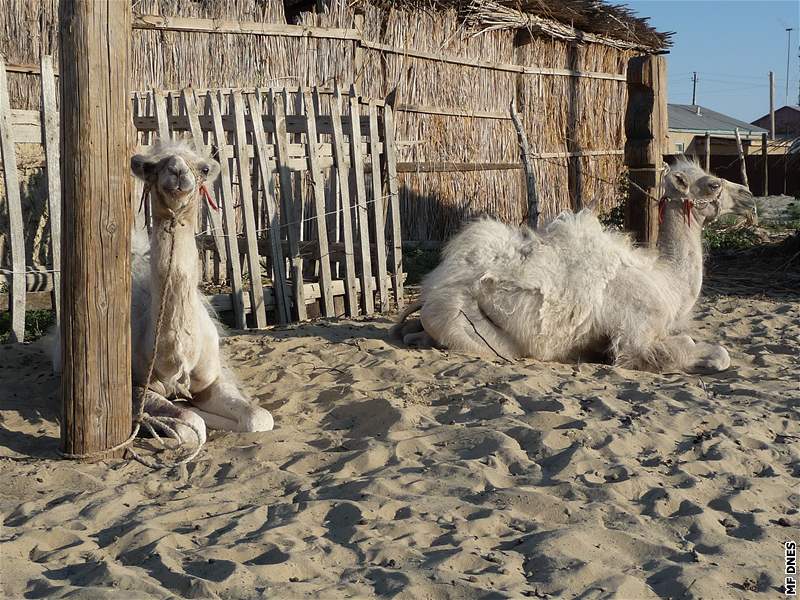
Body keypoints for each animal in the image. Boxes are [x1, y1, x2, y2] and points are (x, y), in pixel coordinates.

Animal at [54, 139, 276, 440]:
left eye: (204, 168)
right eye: (149, 166)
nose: (178, 171)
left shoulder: (211, 379)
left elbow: (259, 417)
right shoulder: (136, 385)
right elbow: (192, 425)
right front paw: (163, 420)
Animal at [394, 158, 756, 376]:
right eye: (713, 184)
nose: (749, 197)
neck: (667, 283)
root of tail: (430, 290)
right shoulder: (634, 336)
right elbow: (702, 353)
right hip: (469, 325)